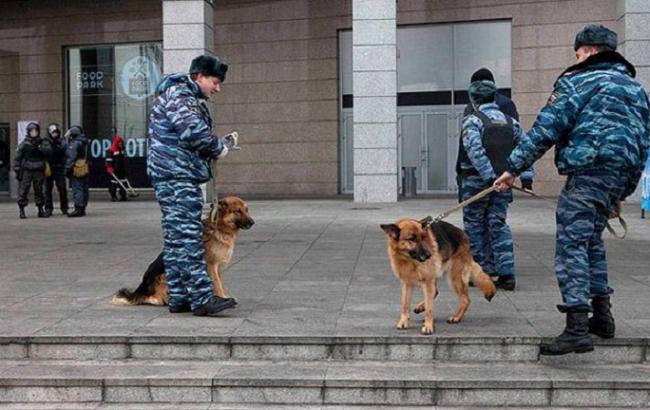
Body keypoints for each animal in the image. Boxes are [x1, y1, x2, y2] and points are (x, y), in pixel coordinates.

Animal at [111, 196, 253, 308]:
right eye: (237, 211)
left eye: (246, 210)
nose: (252, 222)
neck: (220, 228)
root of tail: (142, 288)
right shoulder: (211, 266)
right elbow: (217, 284)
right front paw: (223, 298)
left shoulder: (217, 268)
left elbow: (220, 284)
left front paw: (224, 296)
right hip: (164, 275)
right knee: (152, 298)